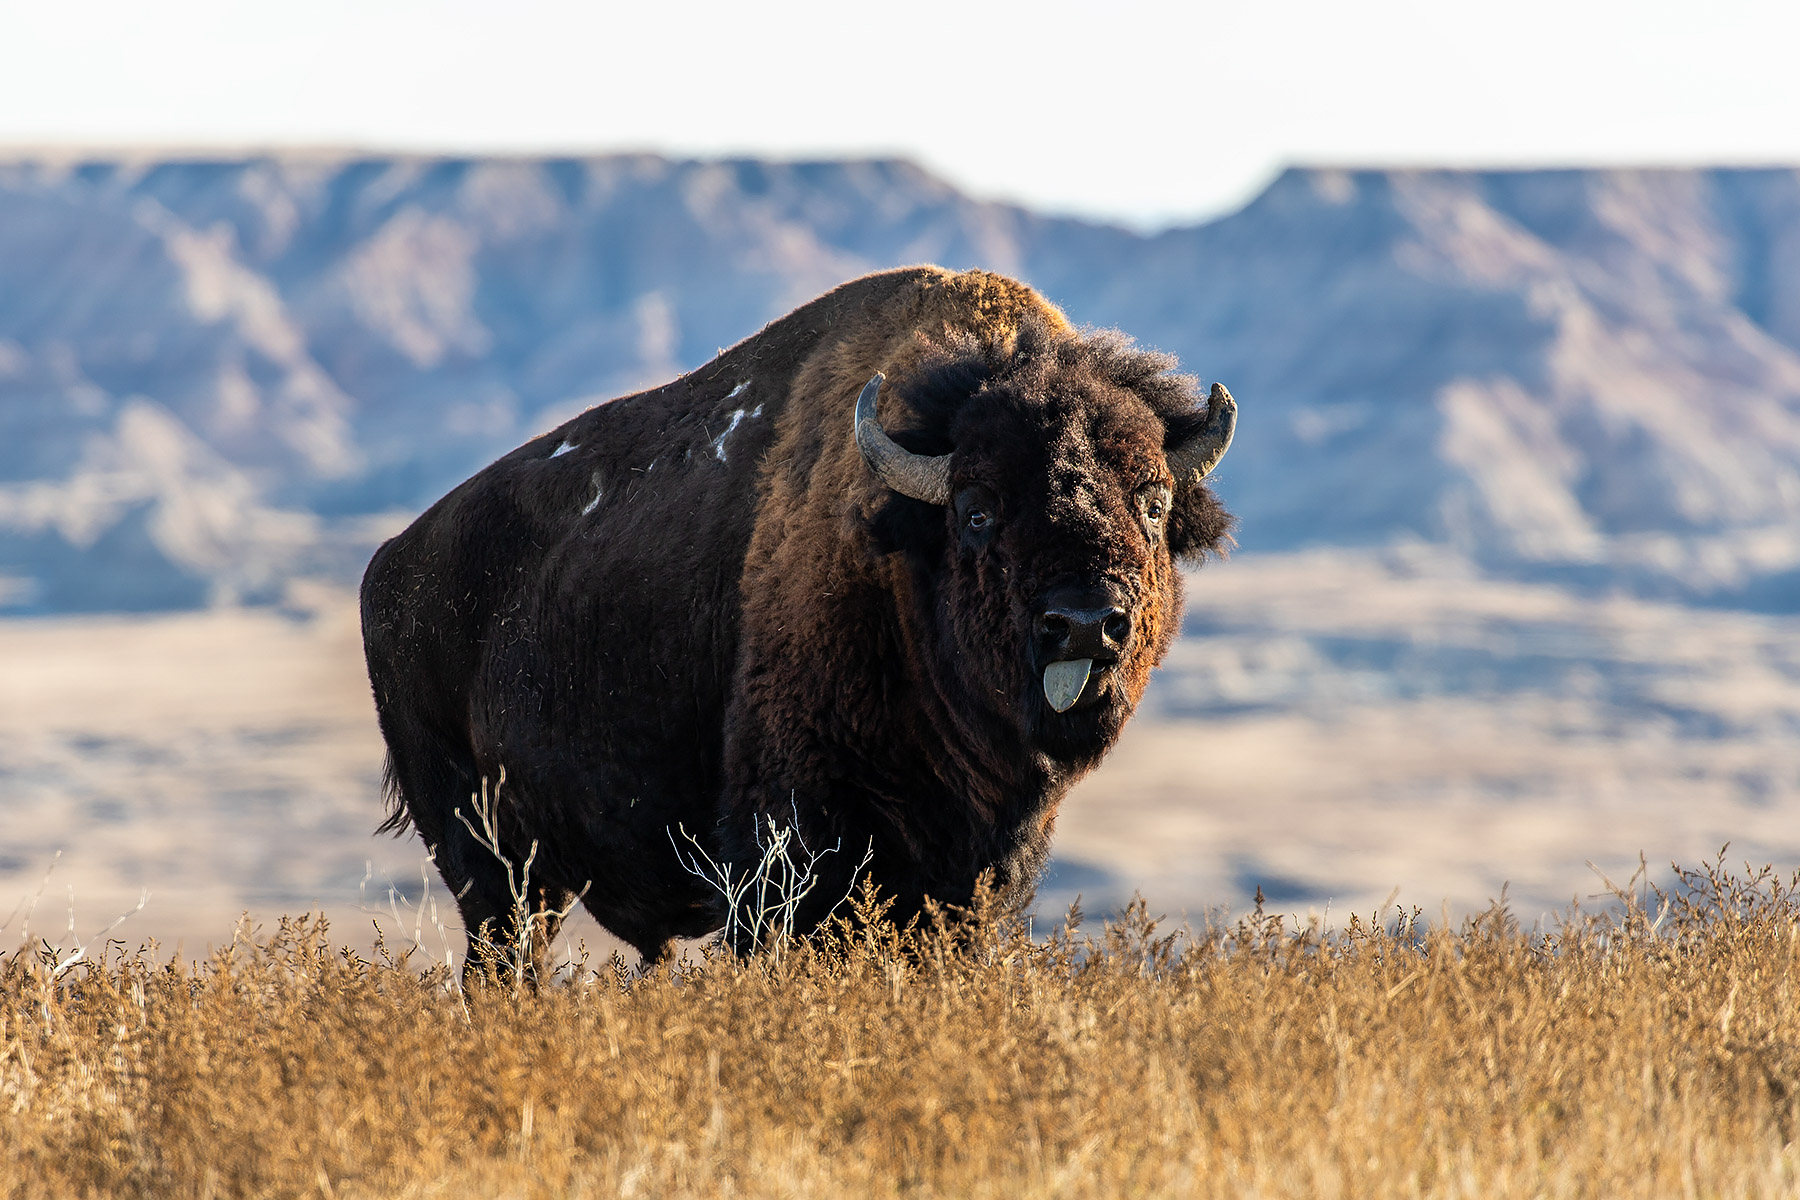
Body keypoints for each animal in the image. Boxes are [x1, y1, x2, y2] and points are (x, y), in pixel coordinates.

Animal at [360, 266, 1236, 965]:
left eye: (1153, 502)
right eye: (977, 509)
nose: (1084, 622)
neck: (897, 557)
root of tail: (391, 567)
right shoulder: (791, 837)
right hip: (488, 860)